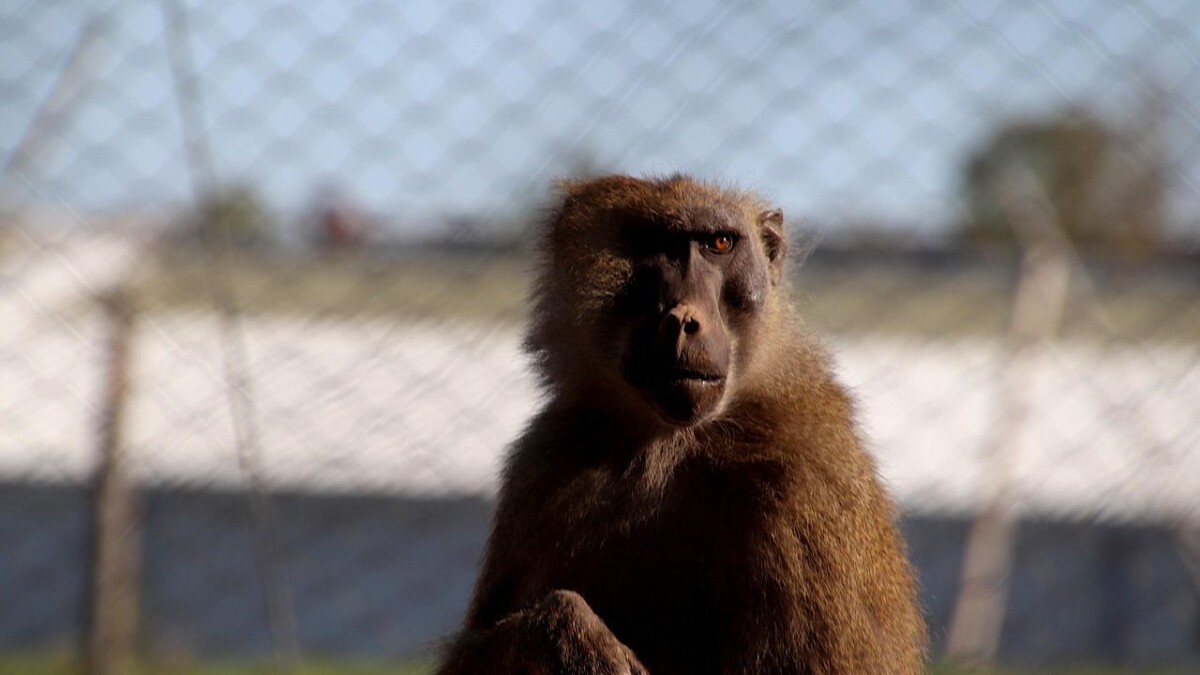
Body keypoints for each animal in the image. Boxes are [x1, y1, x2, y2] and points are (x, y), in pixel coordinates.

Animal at [437, 175, 926, 675]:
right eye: (653, 244)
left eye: (719, 243)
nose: (682, 321)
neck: (673, 444)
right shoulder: (545, 459)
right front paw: (565, 633)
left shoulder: (811, 483)